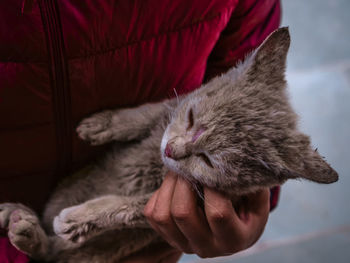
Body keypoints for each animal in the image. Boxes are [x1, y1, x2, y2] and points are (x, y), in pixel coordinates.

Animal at [0, 27, 340, 262]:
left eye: (208, 160)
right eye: (190, 118)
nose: (170, 150)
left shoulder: (166, 210)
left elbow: (125, 207)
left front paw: (81, 218)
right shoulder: (171, 108)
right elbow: (150, 111)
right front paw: (106, 123)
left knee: (53, 253)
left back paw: (24, 227)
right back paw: (18, 215)